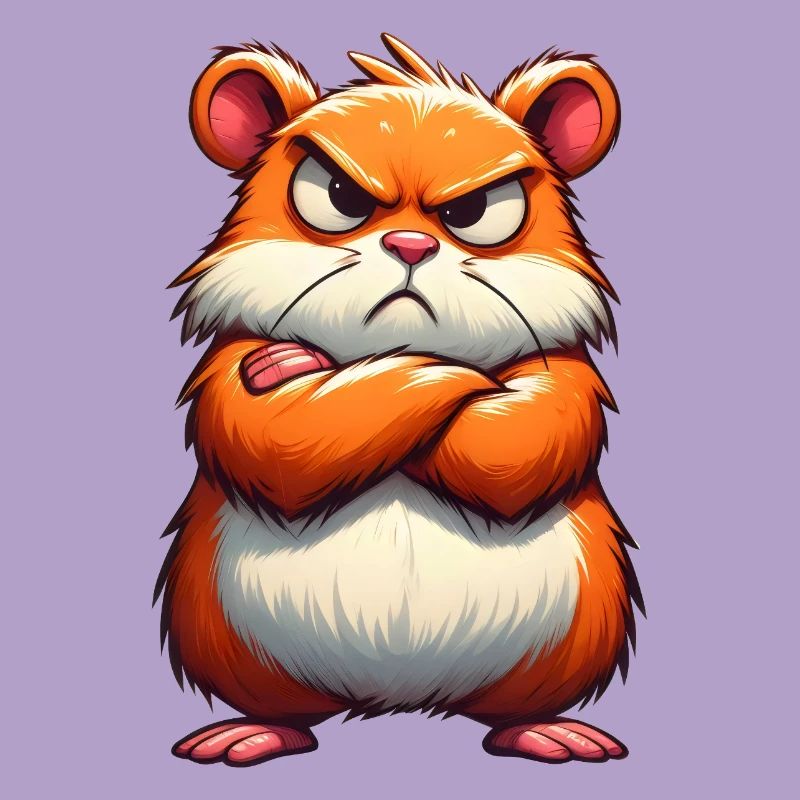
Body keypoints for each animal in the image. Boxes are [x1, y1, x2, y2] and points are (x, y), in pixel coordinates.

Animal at [155, 34, 643, 767]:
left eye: (472, 212)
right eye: (340, 195)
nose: (410, 244)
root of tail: (400, 698)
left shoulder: (564, 379)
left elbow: (515, 445)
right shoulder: (227, 370)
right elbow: (278, 446)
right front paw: (297, 366)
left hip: (579, 631)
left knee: (514, 709)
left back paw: (543, 730)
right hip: (220, 633)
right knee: (282, 708)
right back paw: (254, 731)